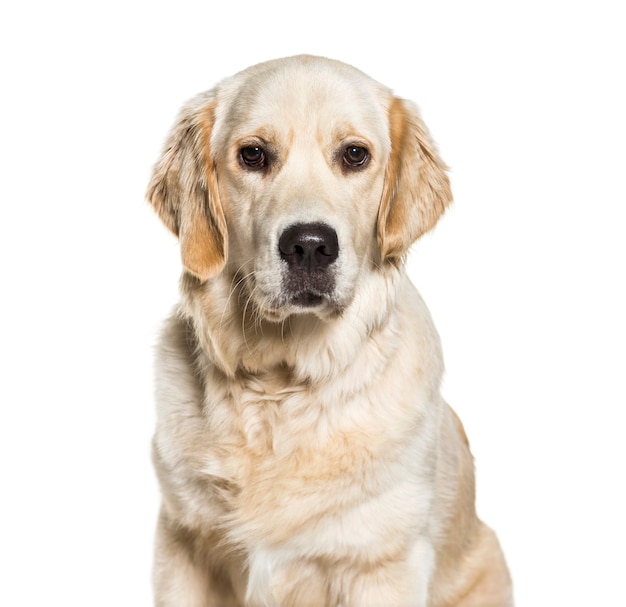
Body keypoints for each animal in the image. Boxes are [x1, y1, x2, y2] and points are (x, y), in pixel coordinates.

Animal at [146, 54, 512, 604]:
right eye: (253, 154)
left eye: (355, 155)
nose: (310, 246)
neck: (282, 386)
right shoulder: (184, 545)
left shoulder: (382, 563)